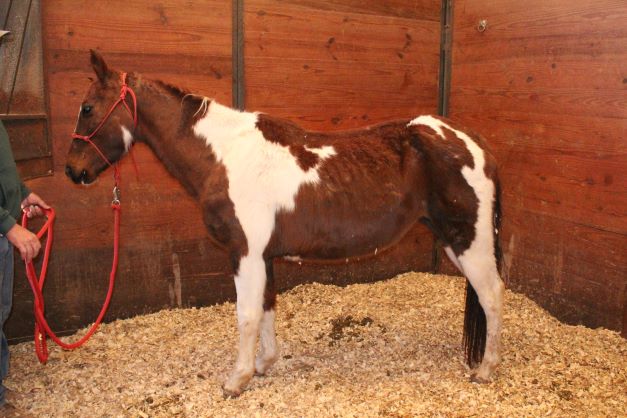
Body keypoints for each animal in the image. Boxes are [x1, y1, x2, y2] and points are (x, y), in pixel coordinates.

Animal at [65, 50, 506, 396]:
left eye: (87, 108)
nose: (72, 171)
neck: (224, 155)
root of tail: (472, 142)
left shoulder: (244, 253)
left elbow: (246, 314)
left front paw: (237, 379)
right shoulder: (263, 256)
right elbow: (266, 307)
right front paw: (264, 364)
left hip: (469, 242)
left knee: (492, 296)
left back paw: (485, 370)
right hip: (452, 240)